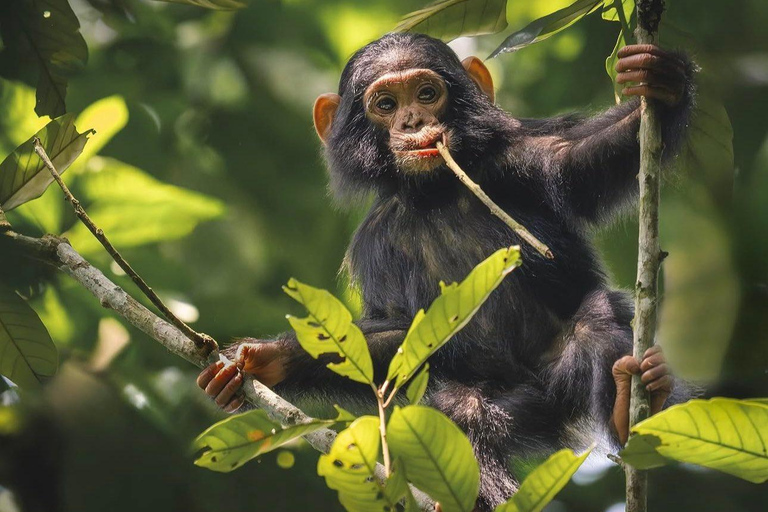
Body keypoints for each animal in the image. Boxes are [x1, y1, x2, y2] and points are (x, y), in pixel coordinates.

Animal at [197, 33, 696, 510]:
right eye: (385, 104)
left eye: (426, 93)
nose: (413, 122)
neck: (433, 191)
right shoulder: (375, 244)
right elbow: (395, 334)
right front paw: (265, 359)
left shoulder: (518, 155)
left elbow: (579, 160)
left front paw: (662, 81)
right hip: (518, 401)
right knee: (464, 413)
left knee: (595, 323)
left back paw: (628, 404)